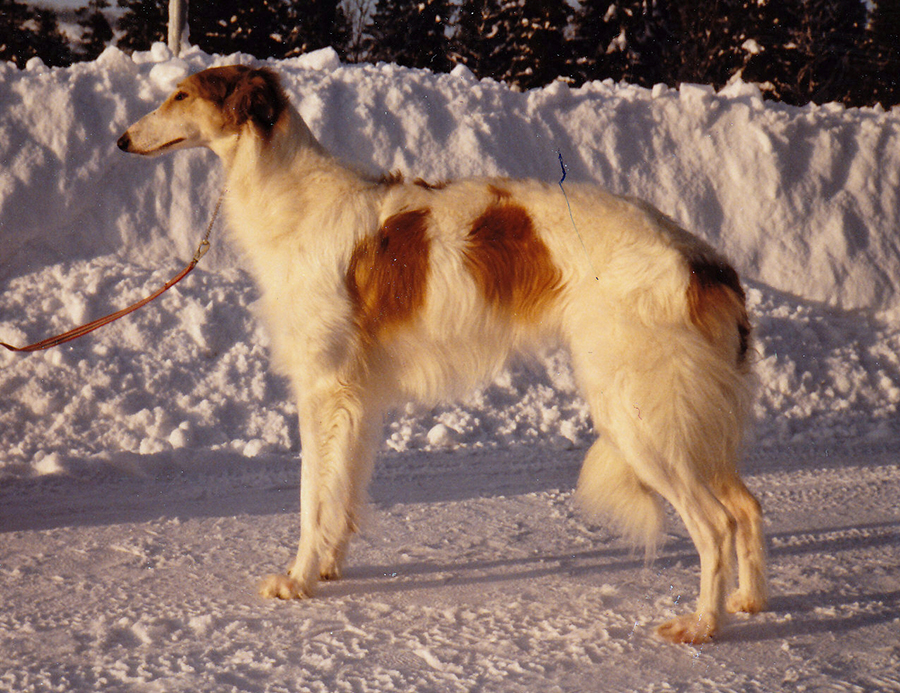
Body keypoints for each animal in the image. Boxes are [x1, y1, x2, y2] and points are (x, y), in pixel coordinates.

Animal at [118, 65, 768, 644]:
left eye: (180, 95)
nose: (121, 140)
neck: (296, 201)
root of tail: (704, 263)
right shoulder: (359, 399)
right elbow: (342, 491)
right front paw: (327, 566)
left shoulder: (323, 388)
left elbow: (311, 497)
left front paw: (298, 580)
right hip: (686, 419)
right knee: (747, 506)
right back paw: (748, 600)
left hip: (638, 415)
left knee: (715, 523)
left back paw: (702, 625)